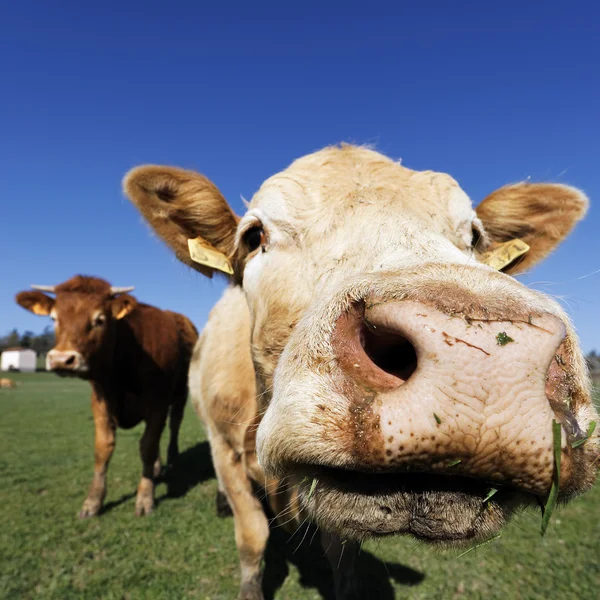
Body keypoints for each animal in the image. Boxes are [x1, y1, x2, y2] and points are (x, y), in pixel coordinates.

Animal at [15, 276, 198, 516]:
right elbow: (103, 448)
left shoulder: (157, 403)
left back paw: (172, 457)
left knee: (175, 422)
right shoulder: (100, 402)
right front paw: (93, 501)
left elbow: (148, 446)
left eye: (100, 319)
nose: (62, 360)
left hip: (181, 393)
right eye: (53, 318)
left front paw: (145, 497)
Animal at [124, 146, 596, 600]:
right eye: (254, 235)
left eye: (476, 237)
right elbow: (252, 539)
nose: (481, 359)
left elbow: (343, 557)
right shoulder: (226, 449)